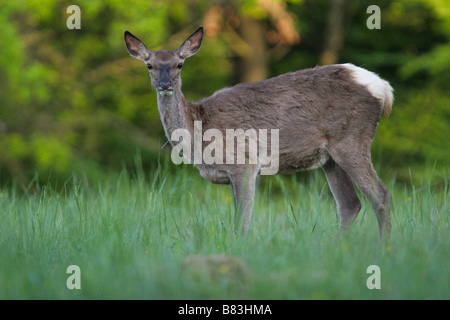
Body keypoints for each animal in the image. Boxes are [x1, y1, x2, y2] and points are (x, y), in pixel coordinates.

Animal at [124, 26, 394, 238]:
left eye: (180, 64)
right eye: (149, 65)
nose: (165, 84)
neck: (199, 133)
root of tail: (384, 88)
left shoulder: (243, 161)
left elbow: (241, 222)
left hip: (352, 139)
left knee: (381, 196)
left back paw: (384, 248)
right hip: (329, 158)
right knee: (350, 204)